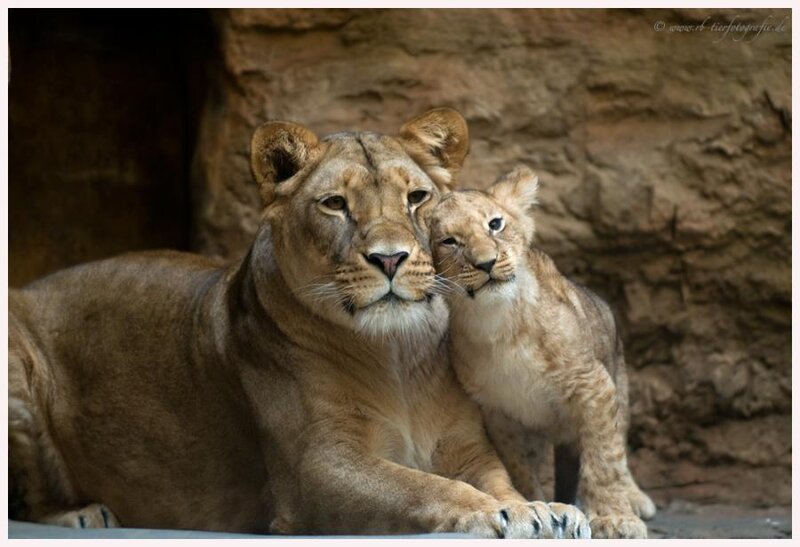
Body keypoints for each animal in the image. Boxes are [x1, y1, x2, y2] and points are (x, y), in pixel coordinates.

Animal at [8, 110, 590, 538]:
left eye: (416, 197)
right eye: (334, 204)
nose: (390, 259)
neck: (396, 355)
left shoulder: (465, 444)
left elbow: (498, 479)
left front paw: (540, 508)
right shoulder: (315, 470)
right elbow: (418, 488)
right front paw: (494, 513)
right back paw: (81, 514)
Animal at [429, 166, 656, 538]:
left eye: (495, 224)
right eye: (449, 241)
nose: (486, 263)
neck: (497, 325)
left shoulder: (593, 385)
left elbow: (603, 459)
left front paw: (614, 518)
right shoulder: (500, 412)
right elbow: (519, 467)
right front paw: (534, 509)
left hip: (619, 385)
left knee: (618, 445)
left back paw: (635, 499)